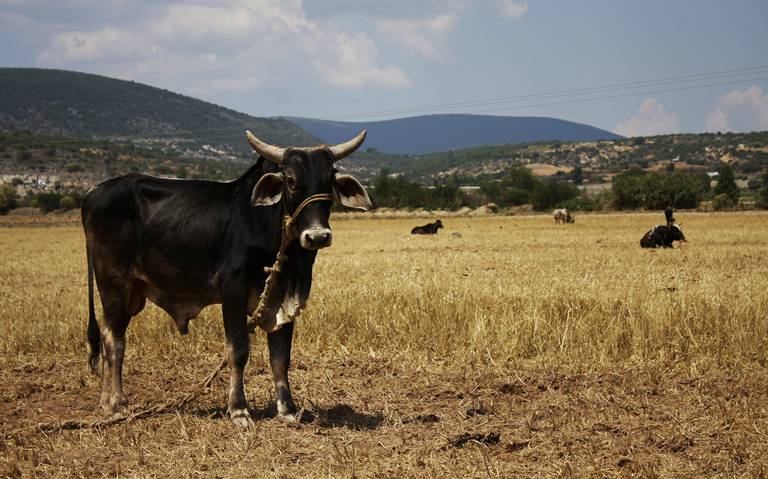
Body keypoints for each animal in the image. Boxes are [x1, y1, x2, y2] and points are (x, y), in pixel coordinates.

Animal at [81, 129, 372, 426]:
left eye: (330, 178)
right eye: (290, 180)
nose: (317, 236)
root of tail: (92, 192)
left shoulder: (282, 298)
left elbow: (280, 356)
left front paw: (288, 409)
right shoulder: (233, 291)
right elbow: (238, 350)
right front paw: (239, 409)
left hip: (131, 292)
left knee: (111, 335)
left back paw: (107, 401)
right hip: (114, 284)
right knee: (113, 339)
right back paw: (116, 403)